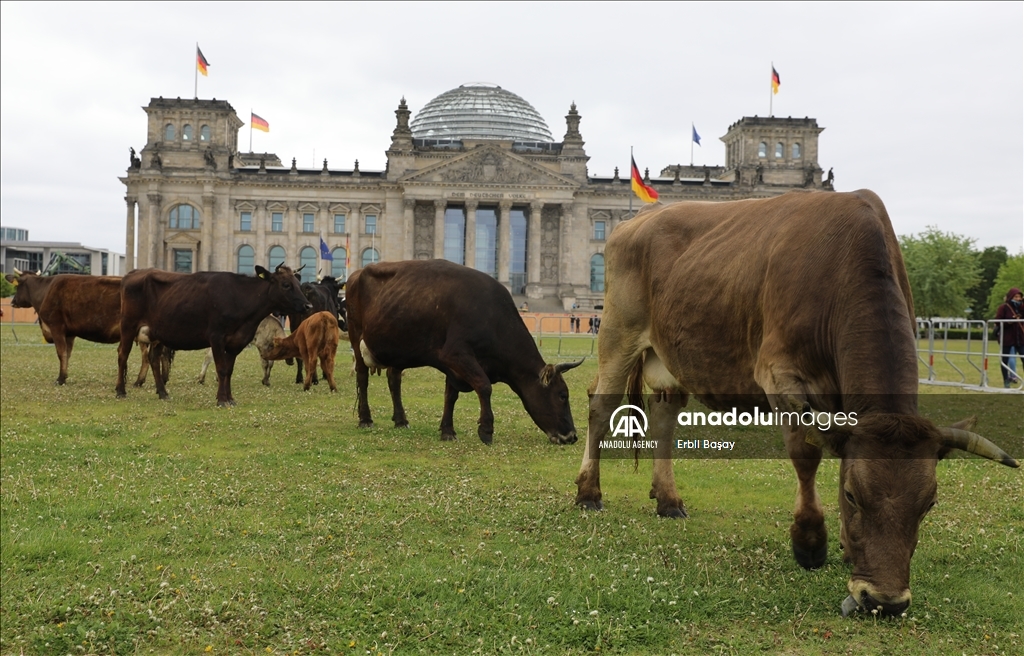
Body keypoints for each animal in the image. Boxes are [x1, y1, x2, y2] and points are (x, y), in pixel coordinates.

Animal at [4, 268, 166, 386]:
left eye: (17, 286)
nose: (13, 302)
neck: (46, 290)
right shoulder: (69, 333)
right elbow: (67, 354)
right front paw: (65, 376)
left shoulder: (56, 327)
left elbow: (61, 353)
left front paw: (60, 379)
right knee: (148, 357)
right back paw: (141, 381)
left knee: (147, 357)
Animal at [116, 264, 311, 405]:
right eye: (286, 285)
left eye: (298, 285)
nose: (308, 306)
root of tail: (133, 273)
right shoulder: (216, 337)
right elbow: (222, 369)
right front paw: (222, 400)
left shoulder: (236, 342)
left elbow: (229, 370)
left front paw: (230, 398)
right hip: (128, 326)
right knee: (122, 355)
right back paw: (120, 391)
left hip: (156, 334)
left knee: (153, 359)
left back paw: (163, 393)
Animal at [346, 260, 581, 446]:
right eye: (562, 395)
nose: (572, 436)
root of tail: (358, 272)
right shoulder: (456, 354)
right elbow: (484, 386)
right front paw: (486, 430)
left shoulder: (453, 367)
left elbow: (451, 396)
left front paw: (447, 431)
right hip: (356, 338)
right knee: (362, 378)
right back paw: (365, 419)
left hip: (396, 348)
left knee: (394, 380)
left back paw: (401, 420)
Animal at [573, 190, 1019, 618]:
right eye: (855, 497)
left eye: (930, 503)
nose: (885, 601)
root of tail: (640, 217)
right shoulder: (780, 374)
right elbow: (806, 455)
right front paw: (809, 542)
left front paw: (845, 547)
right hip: (617, 333)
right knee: (600, 407)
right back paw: (589, 492)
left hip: (671, 357)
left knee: (664, 415)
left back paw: (668, 499)